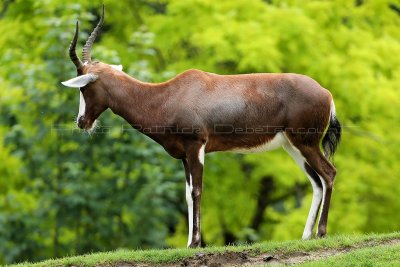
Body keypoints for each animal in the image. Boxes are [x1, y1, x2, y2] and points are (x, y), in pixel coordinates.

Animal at [61, 5, 340, 249]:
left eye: (84, 87)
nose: (81, 122)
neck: (165, 95)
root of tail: (326, 93)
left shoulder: (196, 147)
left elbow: (196, 190)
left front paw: (195, 243)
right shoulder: (184, 155)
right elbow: (187, 193)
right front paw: (188, 243)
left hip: (305, 143)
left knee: (328, 174)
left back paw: (321, 233)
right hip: (293, 146)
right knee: (316, 182)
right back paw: (306, 236)